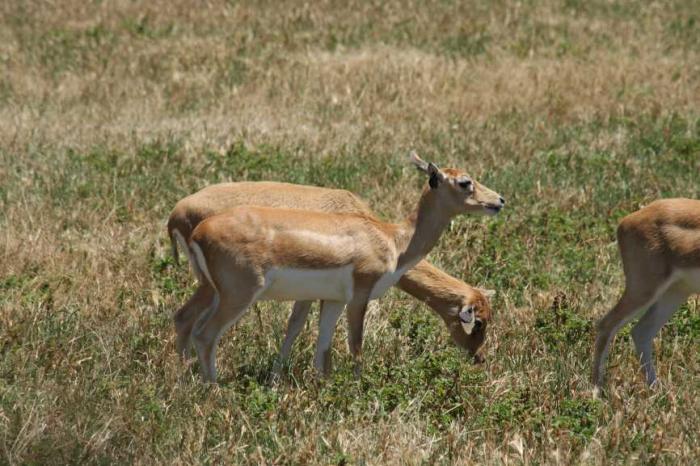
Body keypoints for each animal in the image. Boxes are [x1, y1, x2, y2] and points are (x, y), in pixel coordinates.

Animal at [183, 154, 506, 382]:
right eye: (465, 182)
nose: (499, 201)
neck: (392, 238)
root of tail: (198, 229)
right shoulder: (359, 297)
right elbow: (355, 346)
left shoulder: (333, 300)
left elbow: (322, 348)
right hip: (237, 296)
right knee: (203, 335)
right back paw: (214, 392)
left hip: (215, 293)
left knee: (187, 325)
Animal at [592, 198, 700, 394]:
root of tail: (627, 220)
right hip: (644, 289)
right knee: (607, 324)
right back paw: (596, 391)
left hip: (674, 293)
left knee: (641, 331)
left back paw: (656, 391)